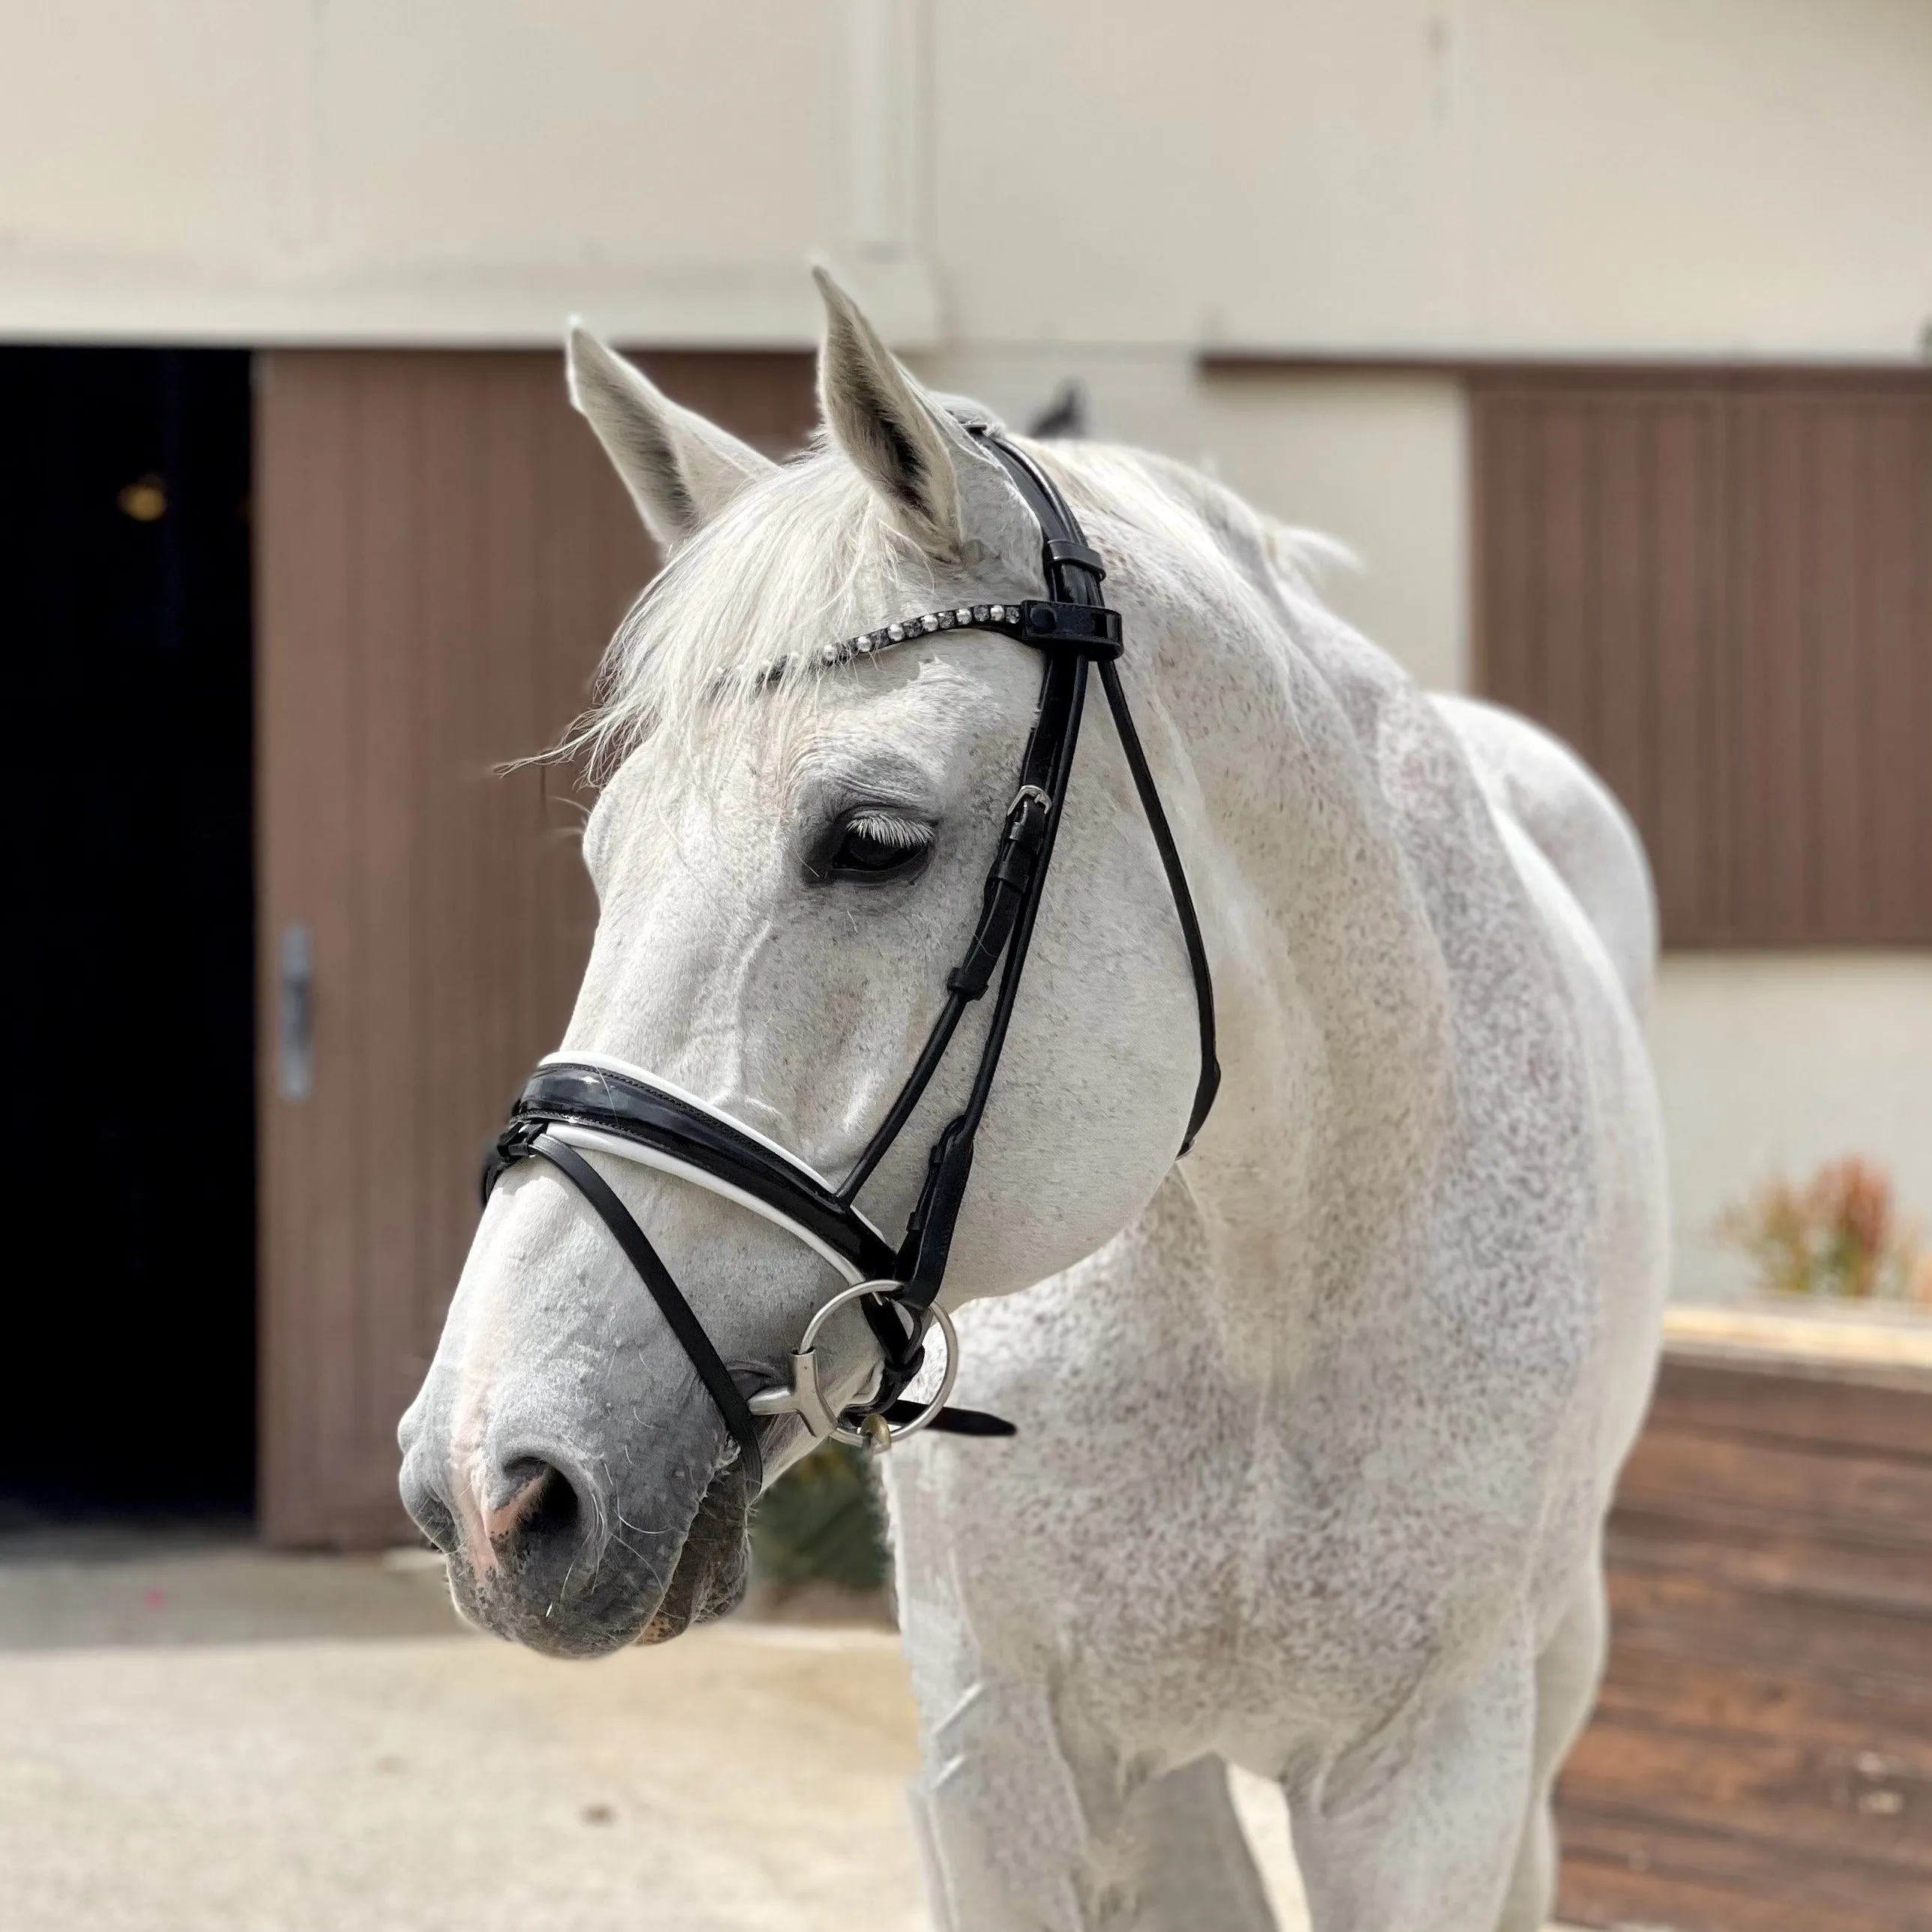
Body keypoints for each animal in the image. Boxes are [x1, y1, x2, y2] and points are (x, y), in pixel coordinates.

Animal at [399, 265, 1669, 1924]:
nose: (488, 1478)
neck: (1261, 1291)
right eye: (608, 854)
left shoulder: (1427, 1781)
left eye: (871, 838)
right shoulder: (993, 1754)